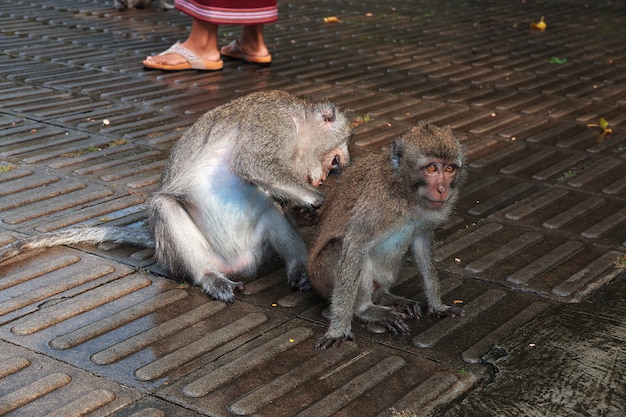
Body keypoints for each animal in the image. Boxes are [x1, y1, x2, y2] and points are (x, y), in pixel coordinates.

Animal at [1, 90, 352, 302]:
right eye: (335, 162)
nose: (322, 178)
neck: (298, 123)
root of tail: (235, 264)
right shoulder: (272, 125)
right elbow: (253, 164)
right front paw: (318, 202)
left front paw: (303, 211)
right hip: (184, 256)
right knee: (164, 205)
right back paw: (210, 278)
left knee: (268, 211)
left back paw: (299, 268)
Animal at [308, 122, 464, 350]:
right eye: (431, 168)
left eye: (449, 168)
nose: (442, 189)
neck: (405, 193)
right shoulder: (378, 205)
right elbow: (356, 244)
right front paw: (338, 329)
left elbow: (422, 243)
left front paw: (438, 305)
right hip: (322, 280)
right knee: (340, 249)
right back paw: (366, 309)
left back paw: (385, 296)